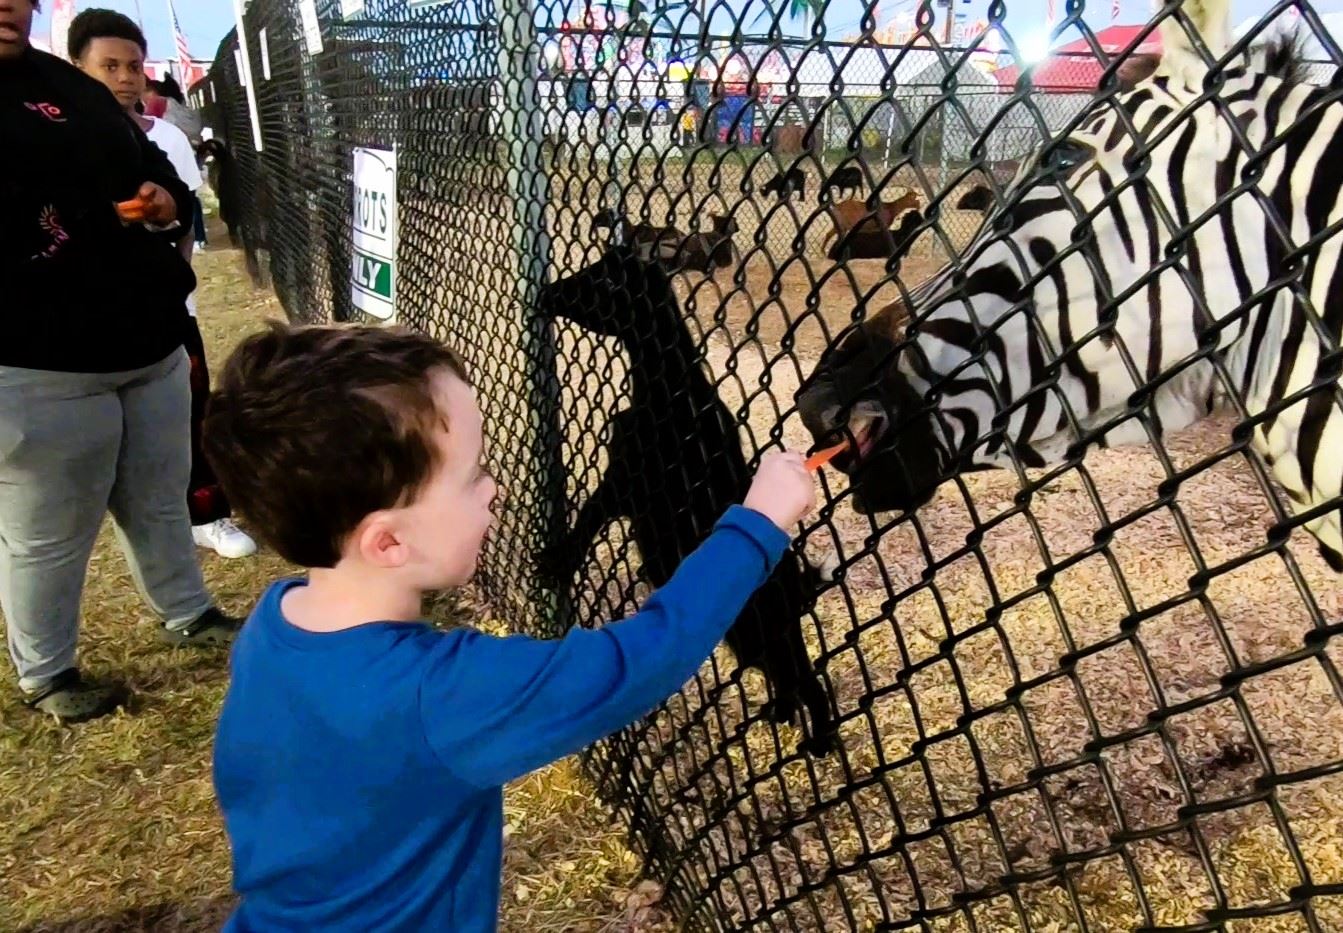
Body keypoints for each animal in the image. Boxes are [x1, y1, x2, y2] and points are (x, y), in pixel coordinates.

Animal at [537, 244, 832, 757]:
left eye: (604, 281)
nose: (548, 294)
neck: (669, 392)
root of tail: (800, 582)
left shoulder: (626, 475)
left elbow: (590, 514)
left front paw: (555, 561)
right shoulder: (626, 480)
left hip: (766, 624)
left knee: (804, 676)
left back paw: (821, 741)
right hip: (746, 632)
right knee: (783, 675)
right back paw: (780, 715)